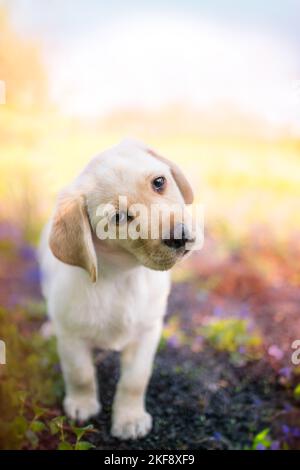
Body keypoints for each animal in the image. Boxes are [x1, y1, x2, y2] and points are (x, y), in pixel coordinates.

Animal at [38, 140, 196, 440]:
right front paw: (82, 404)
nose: (181, 236)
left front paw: (129, 418)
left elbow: (135, 380)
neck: (123, 277)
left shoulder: (147, 332)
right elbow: (80, 373)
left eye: (159, 182)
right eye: (120, 217)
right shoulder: (72, 337)